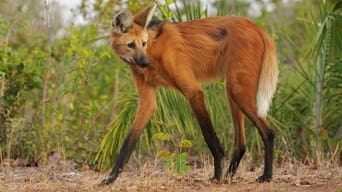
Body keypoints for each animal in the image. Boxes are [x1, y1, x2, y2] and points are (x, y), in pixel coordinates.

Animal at [101, 3, 278, 185]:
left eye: (143, 43)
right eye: (131, 45)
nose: (145, 62)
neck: (154, 50)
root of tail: (258, 28)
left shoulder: (193, 92)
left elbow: (209, 136)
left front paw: (216, 175)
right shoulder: (147, 102)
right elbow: (128, 142)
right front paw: (111, 178)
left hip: (237, 91)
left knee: (269, 133)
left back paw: (266, 175)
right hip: (232, 91)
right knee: (241, 144)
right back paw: (230, 176)